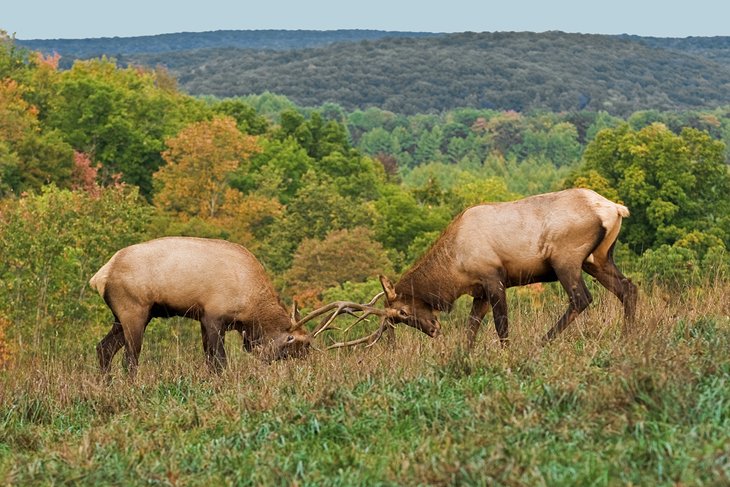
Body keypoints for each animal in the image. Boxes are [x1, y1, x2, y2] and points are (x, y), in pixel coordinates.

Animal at [89, 238, 310, 376]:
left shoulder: (203, 319)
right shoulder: (214, 317)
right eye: (297, 342)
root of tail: (100, 277)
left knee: (104, 349)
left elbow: (210, 361)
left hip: (124, 318)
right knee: (129, 359)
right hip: (134, 313)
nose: (307, 361)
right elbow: (220, 361)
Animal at [312, 187, 636, 346]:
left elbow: (501, 325)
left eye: (401, 313)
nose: (433, 329)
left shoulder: (493, 278)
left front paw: (506, 353)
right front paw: (461, 355)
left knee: (582, 298)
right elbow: (470, 330)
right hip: (598, 259)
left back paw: (542, 341)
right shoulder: (478, 292)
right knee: (628, 287)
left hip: (565, 259)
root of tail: (615, 208)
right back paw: (626, 336)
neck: (454, 268)